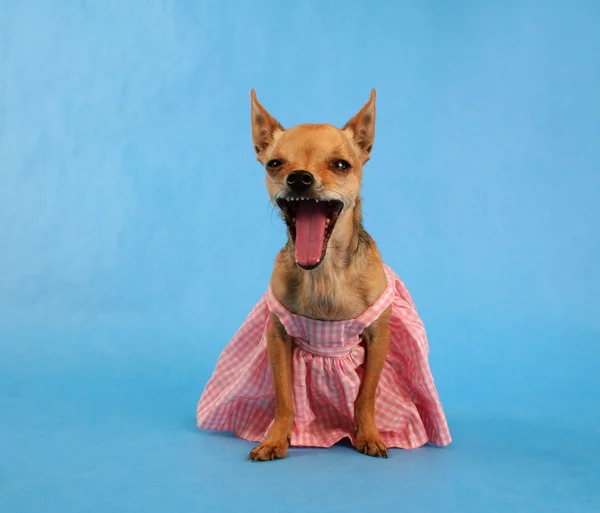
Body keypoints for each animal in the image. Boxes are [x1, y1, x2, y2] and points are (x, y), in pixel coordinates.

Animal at [247, 89, 392, 460]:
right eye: (275, 164)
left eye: (341, 165)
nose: (299, 177)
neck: (324, 273)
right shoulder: (278, 337)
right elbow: (285, 398)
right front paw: (275, 439)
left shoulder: (378, 337)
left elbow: (366, 395)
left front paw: (369, 434)